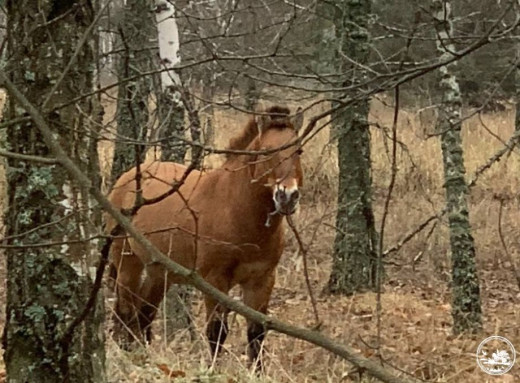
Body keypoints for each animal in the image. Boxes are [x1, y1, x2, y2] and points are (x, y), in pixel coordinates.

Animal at [107, 105, 304, 368]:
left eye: (299, 150)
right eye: (265, 152)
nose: (288, 197)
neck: (235, 211)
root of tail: (127, 178)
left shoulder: (262, 280)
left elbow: (257, 333)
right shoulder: (214, 280)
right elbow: (216, 332)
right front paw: (213, 370)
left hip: (161, 272)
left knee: (143, 315)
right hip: (128, 264)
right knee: (126, 312)